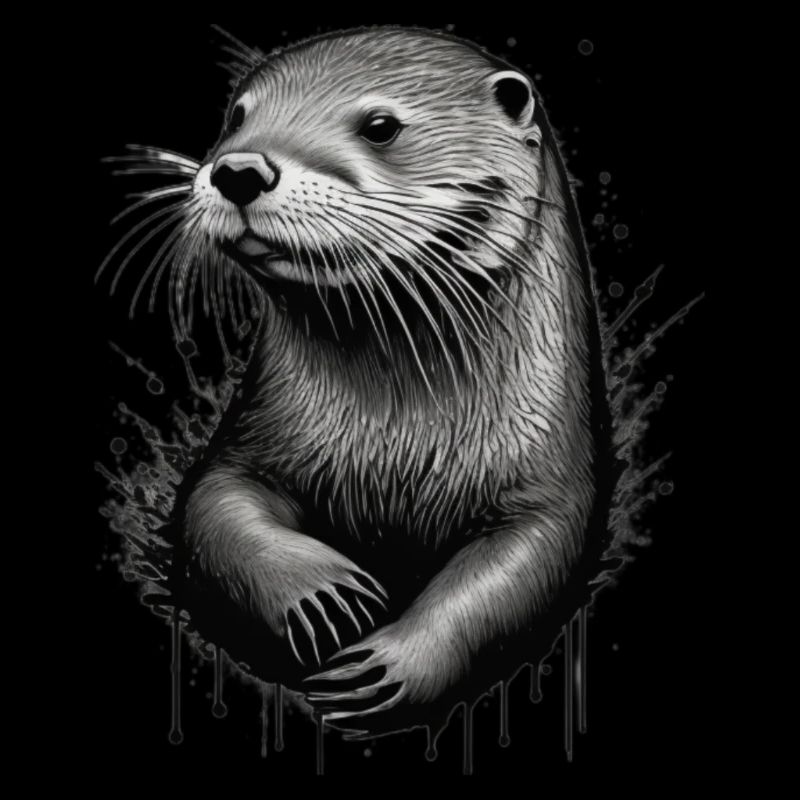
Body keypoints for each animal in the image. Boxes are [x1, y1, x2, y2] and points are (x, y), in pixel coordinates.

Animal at [117, 27, 613, 738]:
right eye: (235, 117)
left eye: (381, 126)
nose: (238, 168)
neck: (396, 440)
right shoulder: (250, 438)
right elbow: (213, 508)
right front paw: (321, 596)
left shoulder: (556, 475)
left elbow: (519, 571)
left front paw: (394, 665)